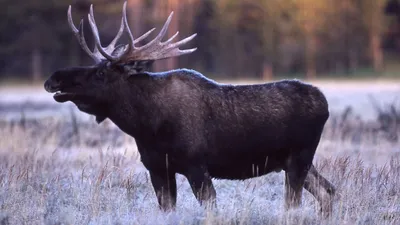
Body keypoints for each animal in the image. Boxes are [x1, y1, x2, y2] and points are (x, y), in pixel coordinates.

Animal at [45, 1, 336, 216]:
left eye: (101, 73)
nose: (54, 78)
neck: (146, 125)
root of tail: (325, 103)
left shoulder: (197, 166)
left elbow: (210, 208)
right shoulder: (158, 169)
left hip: (299, 158)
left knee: (295, 204)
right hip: (293, 162)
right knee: (328, 191)